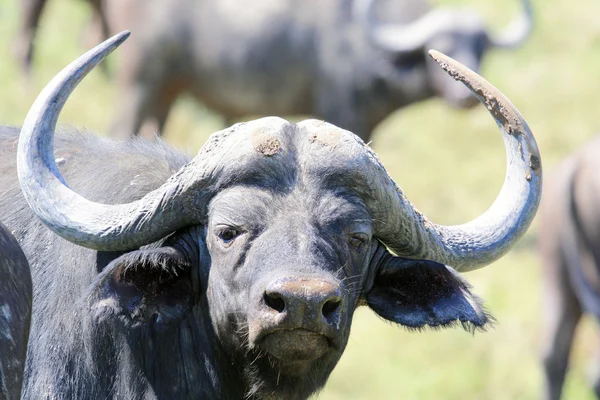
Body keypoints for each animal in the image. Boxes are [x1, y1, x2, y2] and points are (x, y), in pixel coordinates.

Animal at [12, 0, 528, 142]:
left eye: (480, 46)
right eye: (439, 49)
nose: (465, 98)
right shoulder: (344, 111)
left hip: (170, 87)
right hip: (142, 78)